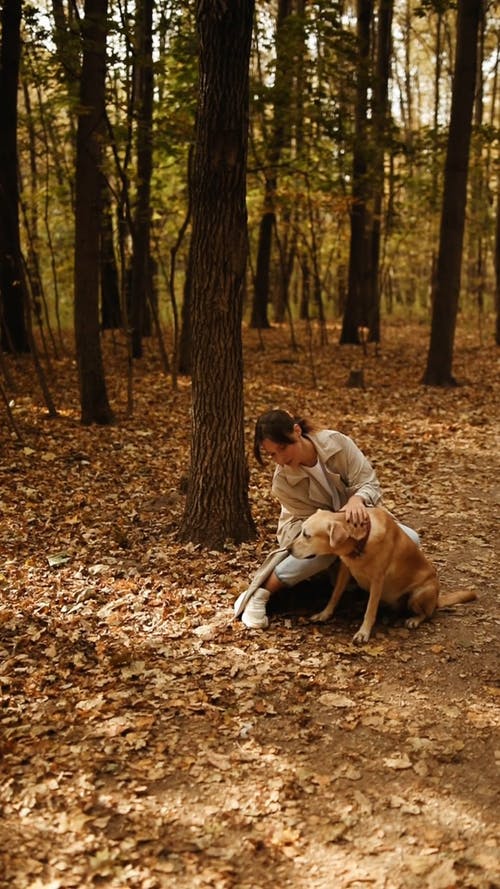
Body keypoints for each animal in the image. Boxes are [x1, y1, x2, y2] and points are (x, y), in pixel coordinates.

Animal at [292, 506, 474, 644]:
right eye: (301, 531)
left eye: (307, 535)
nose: (288, 548)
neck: (361, 543)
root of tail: (437, 599)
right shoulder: (345, 570)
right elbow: (335, 595)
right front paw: (324, 614)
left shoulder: (377, 580)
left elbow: (370, 610)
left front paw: (363, 632)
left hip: (418, 595)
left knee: (427, 614)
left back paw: (414, 619)